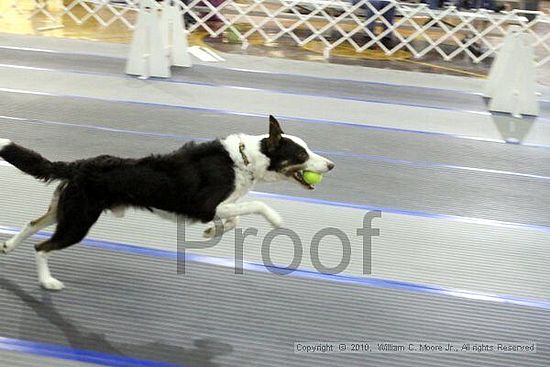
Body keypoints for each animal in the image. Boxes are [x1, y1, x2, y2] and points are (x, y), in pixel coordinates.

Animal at [0, 116, 334, 292]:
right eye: (301, 154)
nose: (330, 165)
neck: (246, 159)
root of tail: (78, 165)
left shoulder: (220, 207)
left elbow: (235, 218)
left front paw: (213, 232)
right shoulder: (206, 206)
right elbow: (257, 206)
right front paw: (275, 219)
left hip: (64, 210)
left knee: (32, 225)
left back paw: (9, 246)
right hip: (78, 221)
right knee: (42, 247)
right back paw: (47, 282)